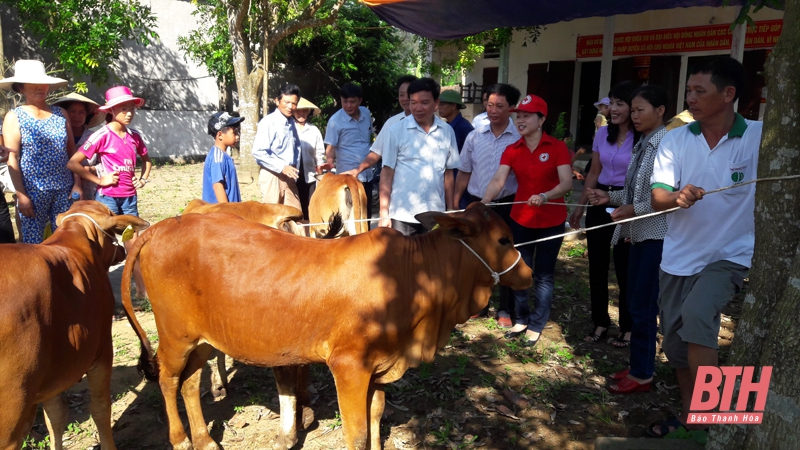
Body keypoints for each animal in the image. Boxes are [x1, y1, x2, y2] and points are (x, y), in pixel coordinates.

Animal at [120, 204, 532, 450]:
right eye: (503, 239)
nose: (527, 274)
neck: (410, 276)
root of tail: (161, 227)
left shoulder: (378, 369)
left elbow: (376, 416)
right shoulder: (349, 368)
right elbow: (358, 433)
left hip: (204, 339)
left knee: (190, 382)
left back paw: (205, 440)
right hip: (175, 336)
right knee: (168, 379)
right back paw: (181, 440)